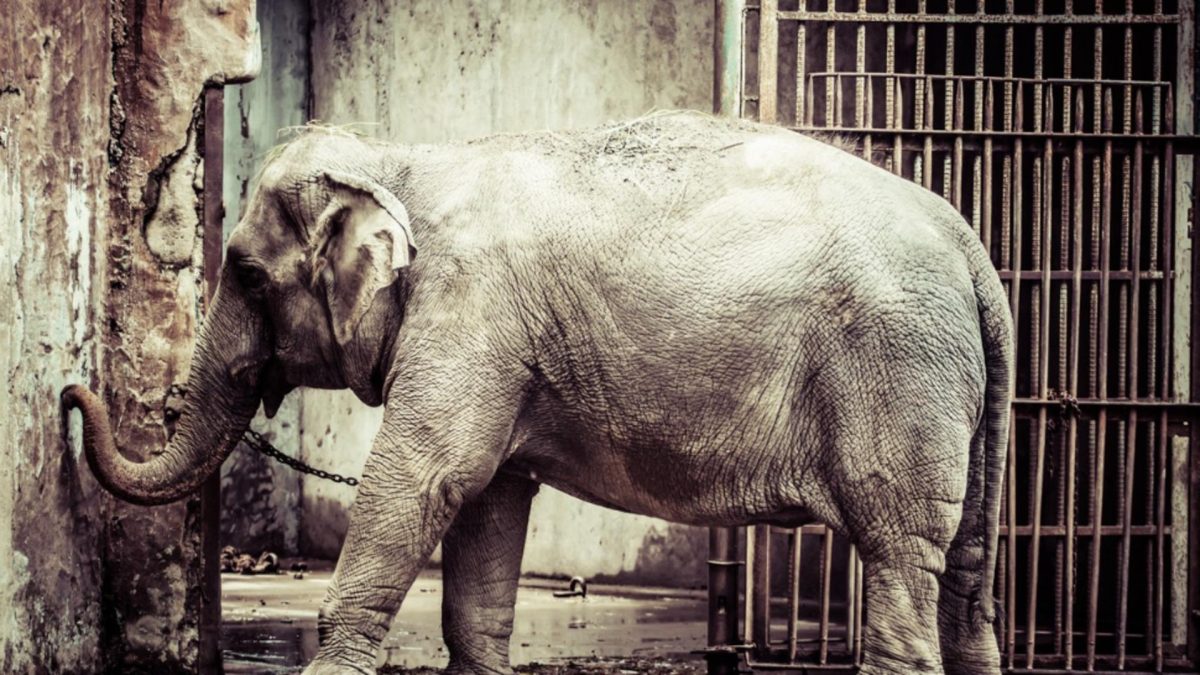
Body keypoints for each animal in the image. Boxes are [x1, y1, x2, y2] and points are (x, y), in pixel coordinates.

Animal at [63, 112, 1012, 675]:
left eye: (249, 275)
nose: (70, 391)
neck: (406, 156)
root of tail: (971, 245)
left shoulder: (468, 316)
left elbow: (427, 477)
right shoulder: (496, 349)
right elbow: (487, 505)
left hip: (898, 375)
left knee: (900, 555)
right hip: (958, 403)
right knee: (965, 576)